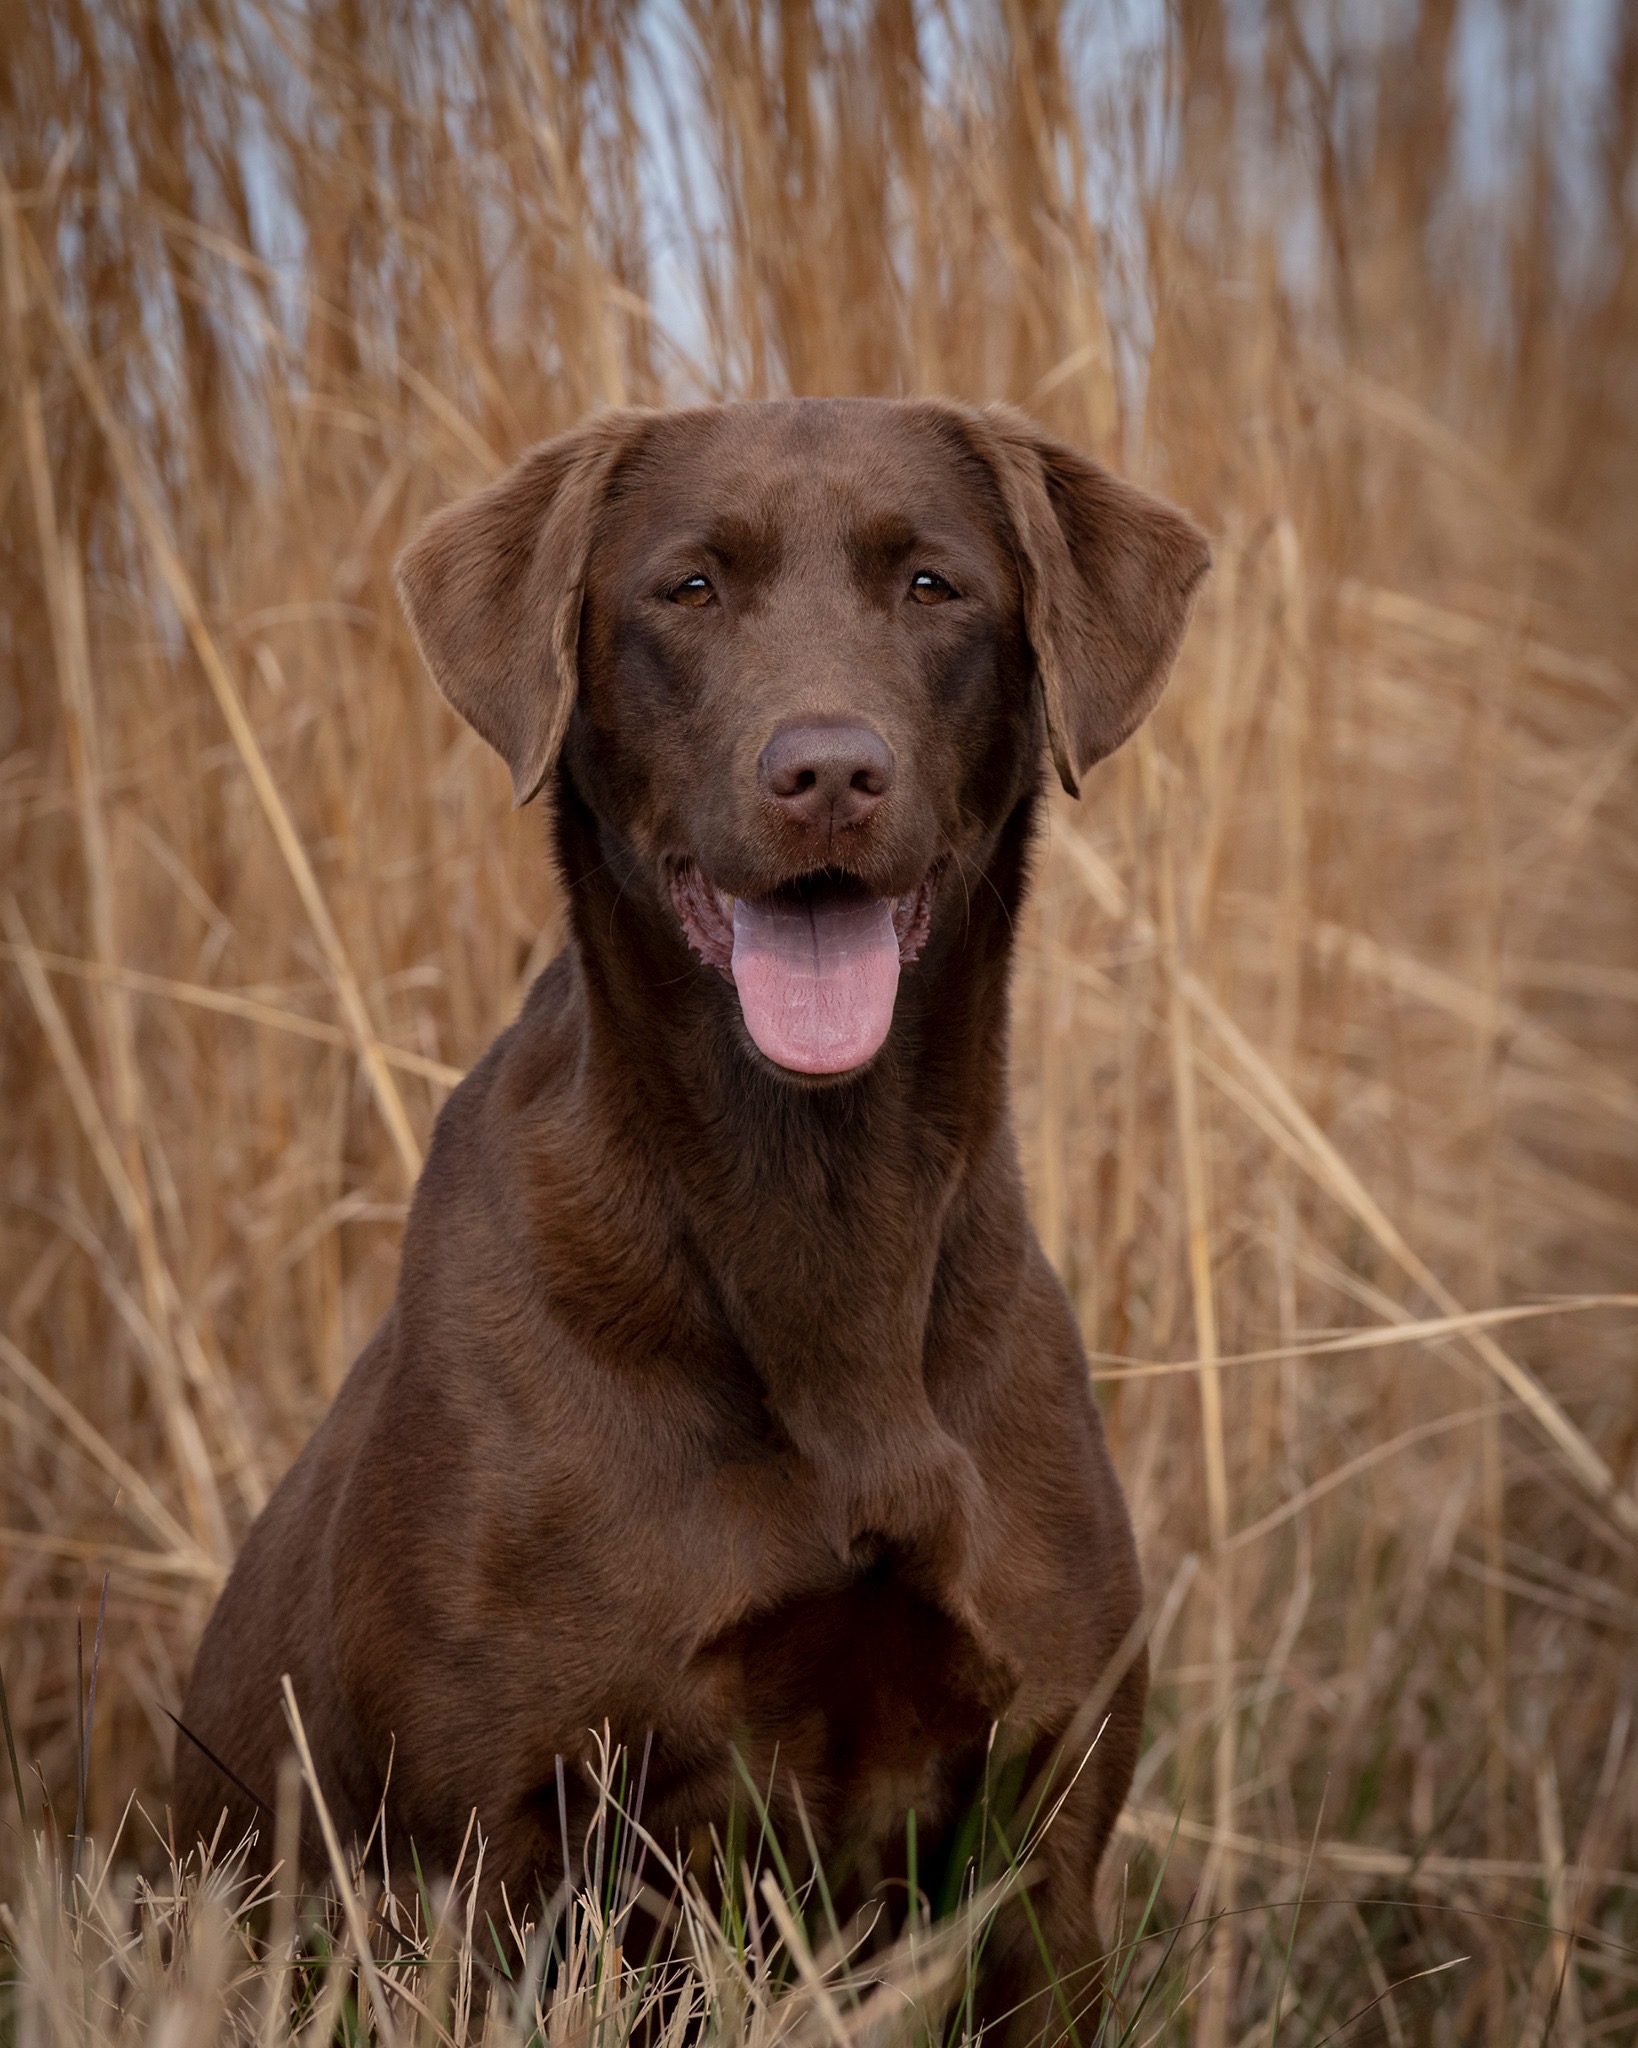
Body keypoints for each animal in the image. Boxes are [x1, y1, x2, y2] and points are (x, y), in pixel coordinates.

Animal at [176, 395, 1203, 2031]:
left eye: (934, 585)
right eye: (690, 588)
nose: (827, 772)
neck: (815, 1212)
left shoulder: (1040, 1860)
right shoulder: (486, 1864)